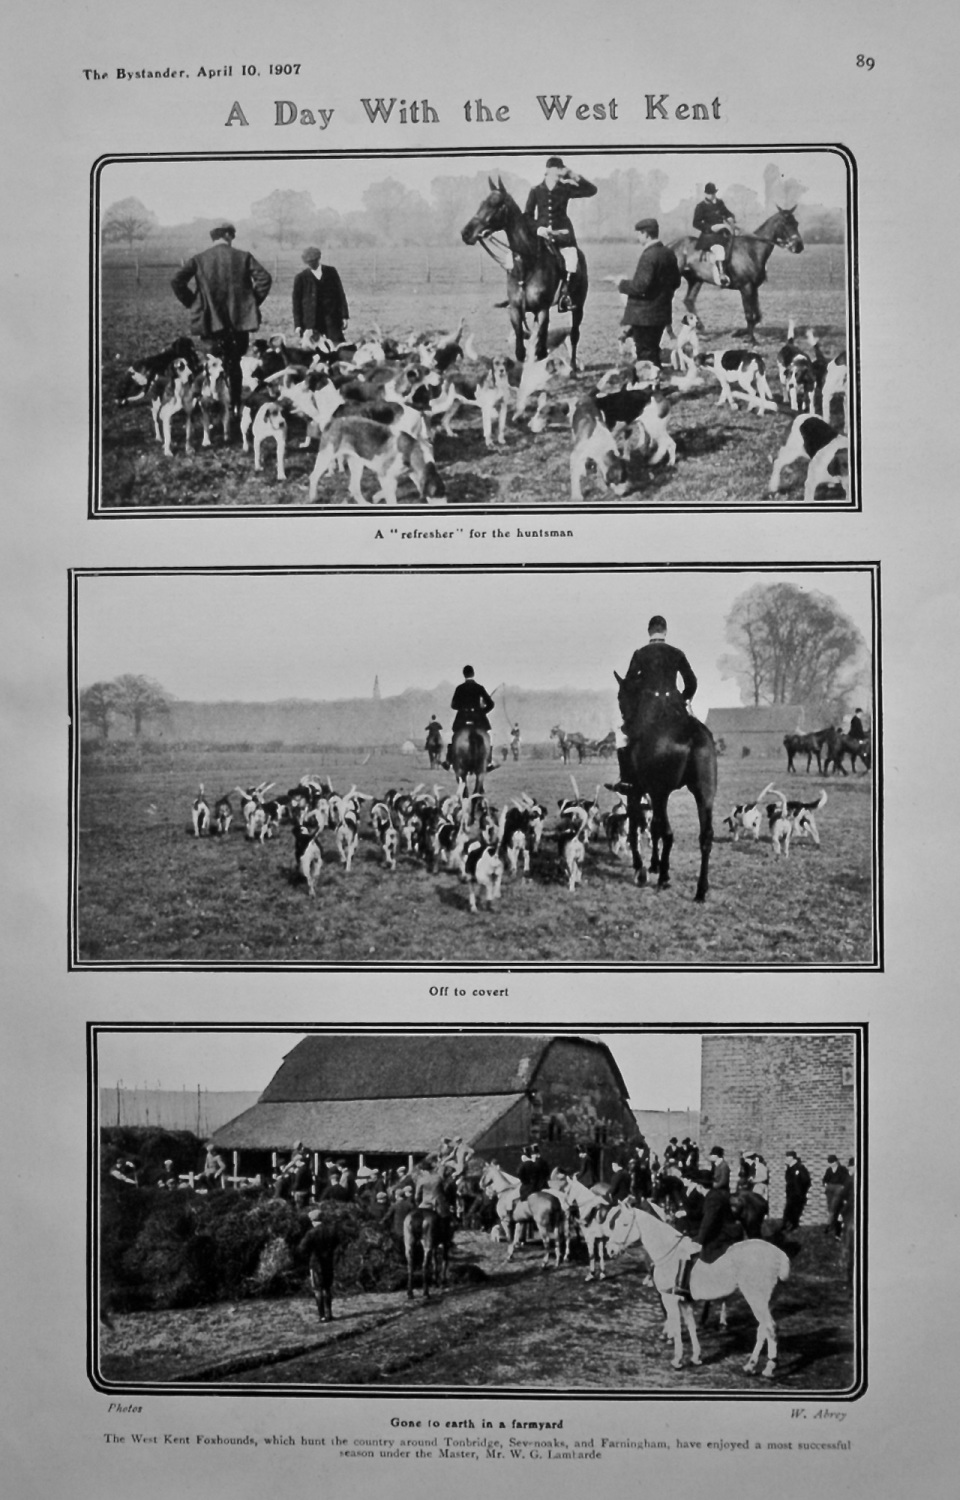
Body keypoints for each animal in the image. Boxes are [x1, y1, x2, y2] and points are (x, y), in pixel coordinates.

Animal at [462, 176, 588, 372]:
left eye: (495, 204)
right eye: (482, 203)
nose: (466, 233)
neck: (526, 265)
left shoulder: (543, 310)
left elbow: (541, 350)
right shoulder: (515, 310)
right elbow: (521, 351)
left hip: (578, 306)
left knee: (574, 334)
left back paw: (573, 367)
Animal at [606, 1200, 786, 1374]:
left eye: (624, 1224)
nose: (610, 1250)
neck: (669, 1250)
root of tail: (779, 1255)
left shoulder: (669, 1298)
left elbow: (677, 1327)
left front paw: (677, 1360)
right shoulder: (684, 1300)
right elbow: (690, 1325)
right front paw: (696, 1357)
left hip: (756, 1300)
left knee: (770, 1328)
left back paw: (769, 1367)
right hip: (765, 1302)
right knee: (763, 1329)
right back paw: (751, 1365)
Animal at [612, 681, 717, 900]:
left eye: (620, 696)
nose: (625, 722)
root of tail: (691, 733)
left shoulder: (638, 792)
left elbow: (637, 829)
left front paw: (643, 866)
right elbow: (653, 828)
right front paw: (654, 864)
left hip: (659, 793)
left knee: (666, 832)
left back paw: (664, 878)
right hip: (704, 794)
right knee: (705, 836)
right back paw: (701, 890)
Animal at [672, 207, 804, 343]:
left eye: (796, 223)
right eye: (785, 224)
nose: (799, 246)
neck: (752, 250)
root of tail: (671, 245)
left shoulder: (754, 288)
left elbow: (757, 316)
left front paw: (740, 333)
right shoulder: (746, 287)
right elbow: (749, 315)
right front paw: (751, 340)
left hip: (696, 280)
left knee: (689, 300)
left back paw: (700, 327)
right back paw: (673, 335)